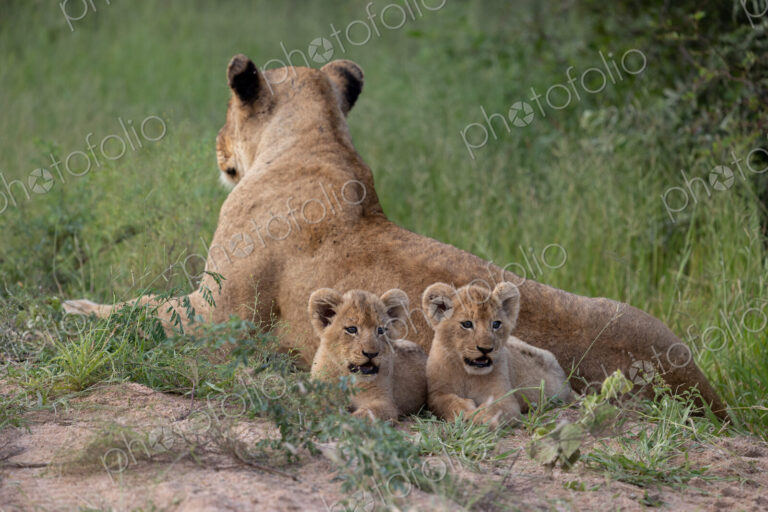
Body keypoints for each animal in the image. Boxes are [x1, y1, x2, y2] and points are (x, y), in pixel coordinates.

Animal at [308, 287, 426, 421]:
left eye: (381, 330)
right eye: (352, 329)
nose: (371, 354)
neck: (348, 378)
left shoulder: (384, 402)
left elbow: (363, 415)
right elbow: (319, 406)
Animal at [423, 281, 573, 428]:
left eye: (496, 324)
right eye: (467, 324)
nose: (486, 349)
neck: (468, 375)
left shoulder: (506, 398)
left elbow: (494, 407)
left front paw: (479, 419)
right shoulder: (435, 392)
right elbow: (444, 402)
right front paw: (463, 412)